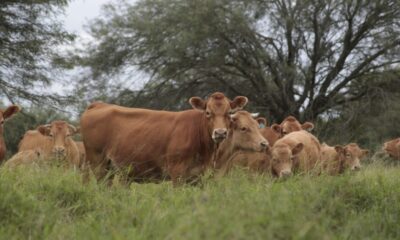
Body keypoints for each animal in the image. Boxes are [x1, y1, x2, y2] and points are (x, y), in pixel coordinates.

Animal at [79, 92, 248, 184]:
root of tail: (99, 105)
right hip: (97, 163)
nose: (220, 133)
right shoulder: (177, 172)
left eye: (229, 113)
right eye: (208, 112)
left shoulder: (199, 175)